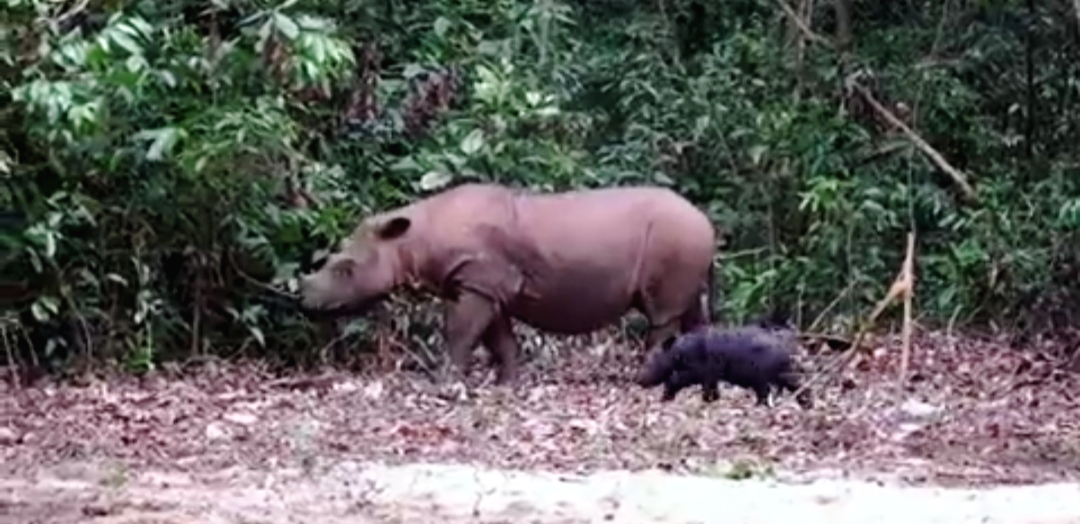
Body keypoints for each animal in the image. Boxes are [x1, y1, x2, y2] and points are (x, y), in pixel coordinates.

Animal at [630, 321, 812, 408]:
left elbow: (674, 381)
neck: (679, 353)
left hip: (773, 376)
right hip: (772, 377)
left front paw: (666, 398)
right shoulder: (711, 376)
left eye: (652, 359)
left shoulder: (698, 372)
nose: (637, 379)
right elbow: (712, 391)